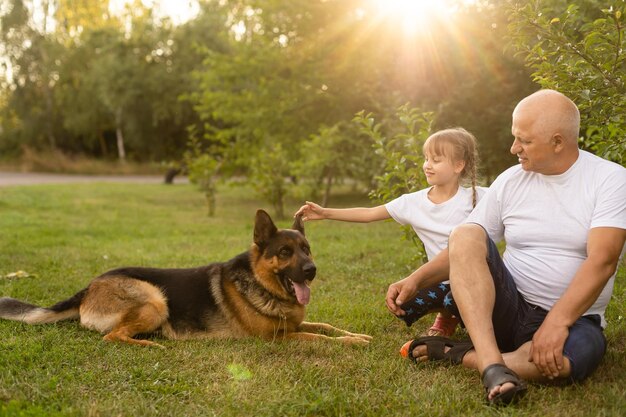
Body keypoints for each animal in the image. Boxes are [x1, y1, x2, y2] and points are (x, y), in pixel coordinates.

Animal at [0, 210, 370, 346]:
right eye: (284, 252)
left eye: (307, 250)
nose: (311, 271)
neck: (262, 285)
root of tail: (90, 286)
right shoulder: (278, 338)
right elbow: (320, 337)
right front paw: (352, 344)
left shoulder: (294, 325)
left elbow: (326, 326)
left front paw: (357, 335)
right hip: (154, 299)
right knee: (112, 337)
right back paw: (150, 345)